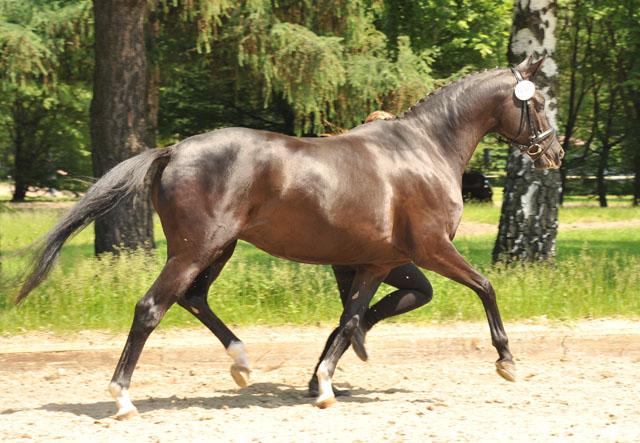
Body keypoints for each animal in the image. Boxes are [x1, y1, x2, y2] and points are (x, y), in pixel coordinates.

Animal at [8, 56, 560, 420]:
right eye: (539, 104)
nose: (554, 153)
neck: (425, 149)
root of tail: (174, 149)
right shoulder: (432, 248)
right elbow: (486, 286)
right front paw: (507, 362)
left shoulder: (377, 263)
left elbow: (351, 319)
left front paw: (325, 382)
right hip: (196, 250)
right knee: (151, 308)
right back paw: (124, 398)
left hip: (218, 249)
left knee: (193, 298)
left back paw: (241, 362)